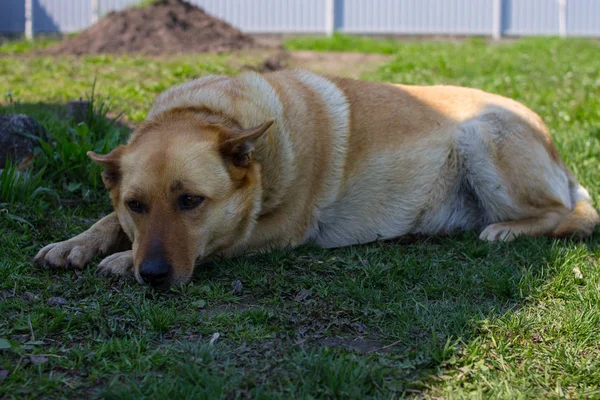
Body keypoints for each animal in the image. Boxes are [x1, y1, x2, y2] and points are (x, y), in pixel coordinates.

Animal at [34, 69, 600, 288]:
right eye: (136, 205)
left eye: (192, 202)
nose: (150, 274)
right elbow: (105, 219)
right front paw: (77, 243)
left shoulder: (280, 231)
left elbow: (220, 241)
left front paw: (118, 260)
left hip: (483, 136)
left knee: (575, 214)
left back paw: (506, 229)